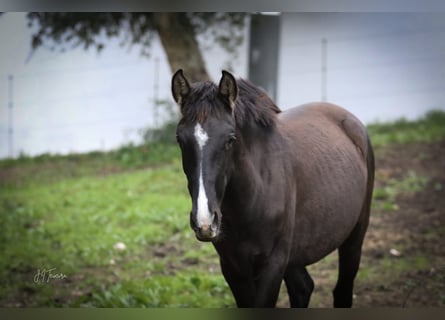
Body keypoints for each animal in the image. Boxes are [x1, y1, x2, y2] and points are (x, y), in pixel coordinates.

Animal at [172, 69, 372, 308]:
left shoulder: (272, 265)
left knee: (341, 290)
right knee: (303, 288)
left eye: (230, 139)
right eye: (180, 139)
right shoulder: (233, 267)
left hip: (354, 236)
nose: (204, 222)